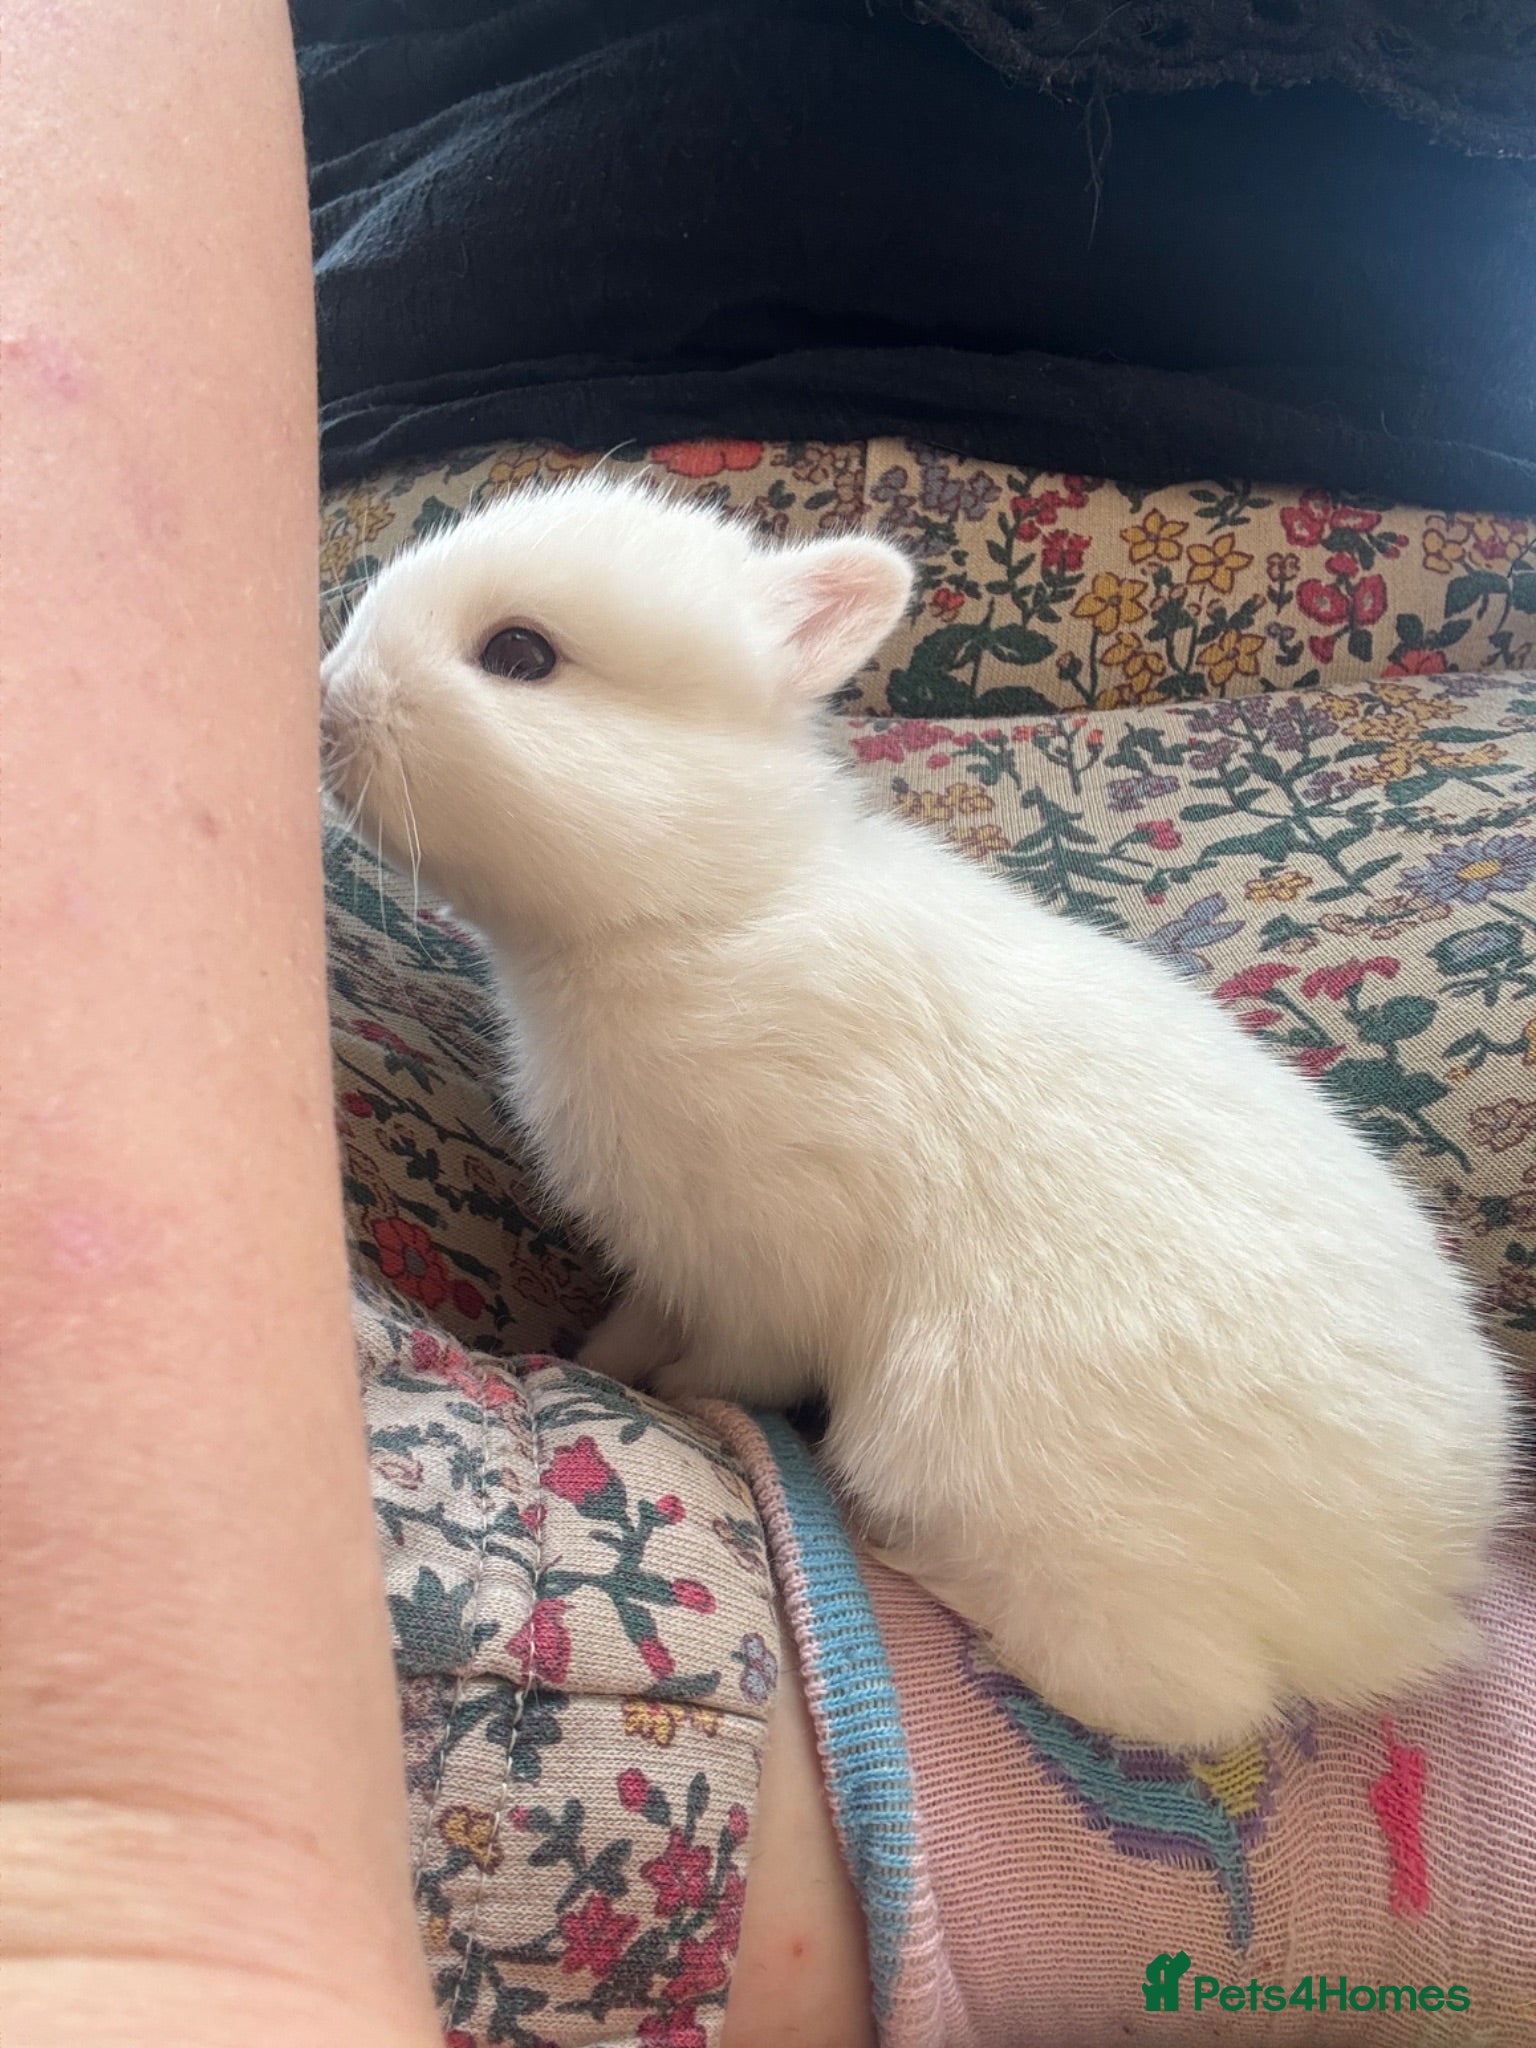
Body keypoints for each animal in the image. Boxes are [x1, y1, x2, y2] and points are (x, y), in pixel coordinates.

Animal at [319, 472, 1516, 1749]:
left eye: (519, 653)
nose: (330, 698)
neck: (705, 905)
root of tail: (1405, 1602)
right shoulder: (673, 1260)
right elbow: (635, 1326)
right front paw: (589, 1354)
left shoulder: (769, 1266)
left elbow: (729, 1367)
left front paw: (675, 1398)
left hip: (989, 1475)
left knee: (1180, 1694)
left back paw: (909, 1563)